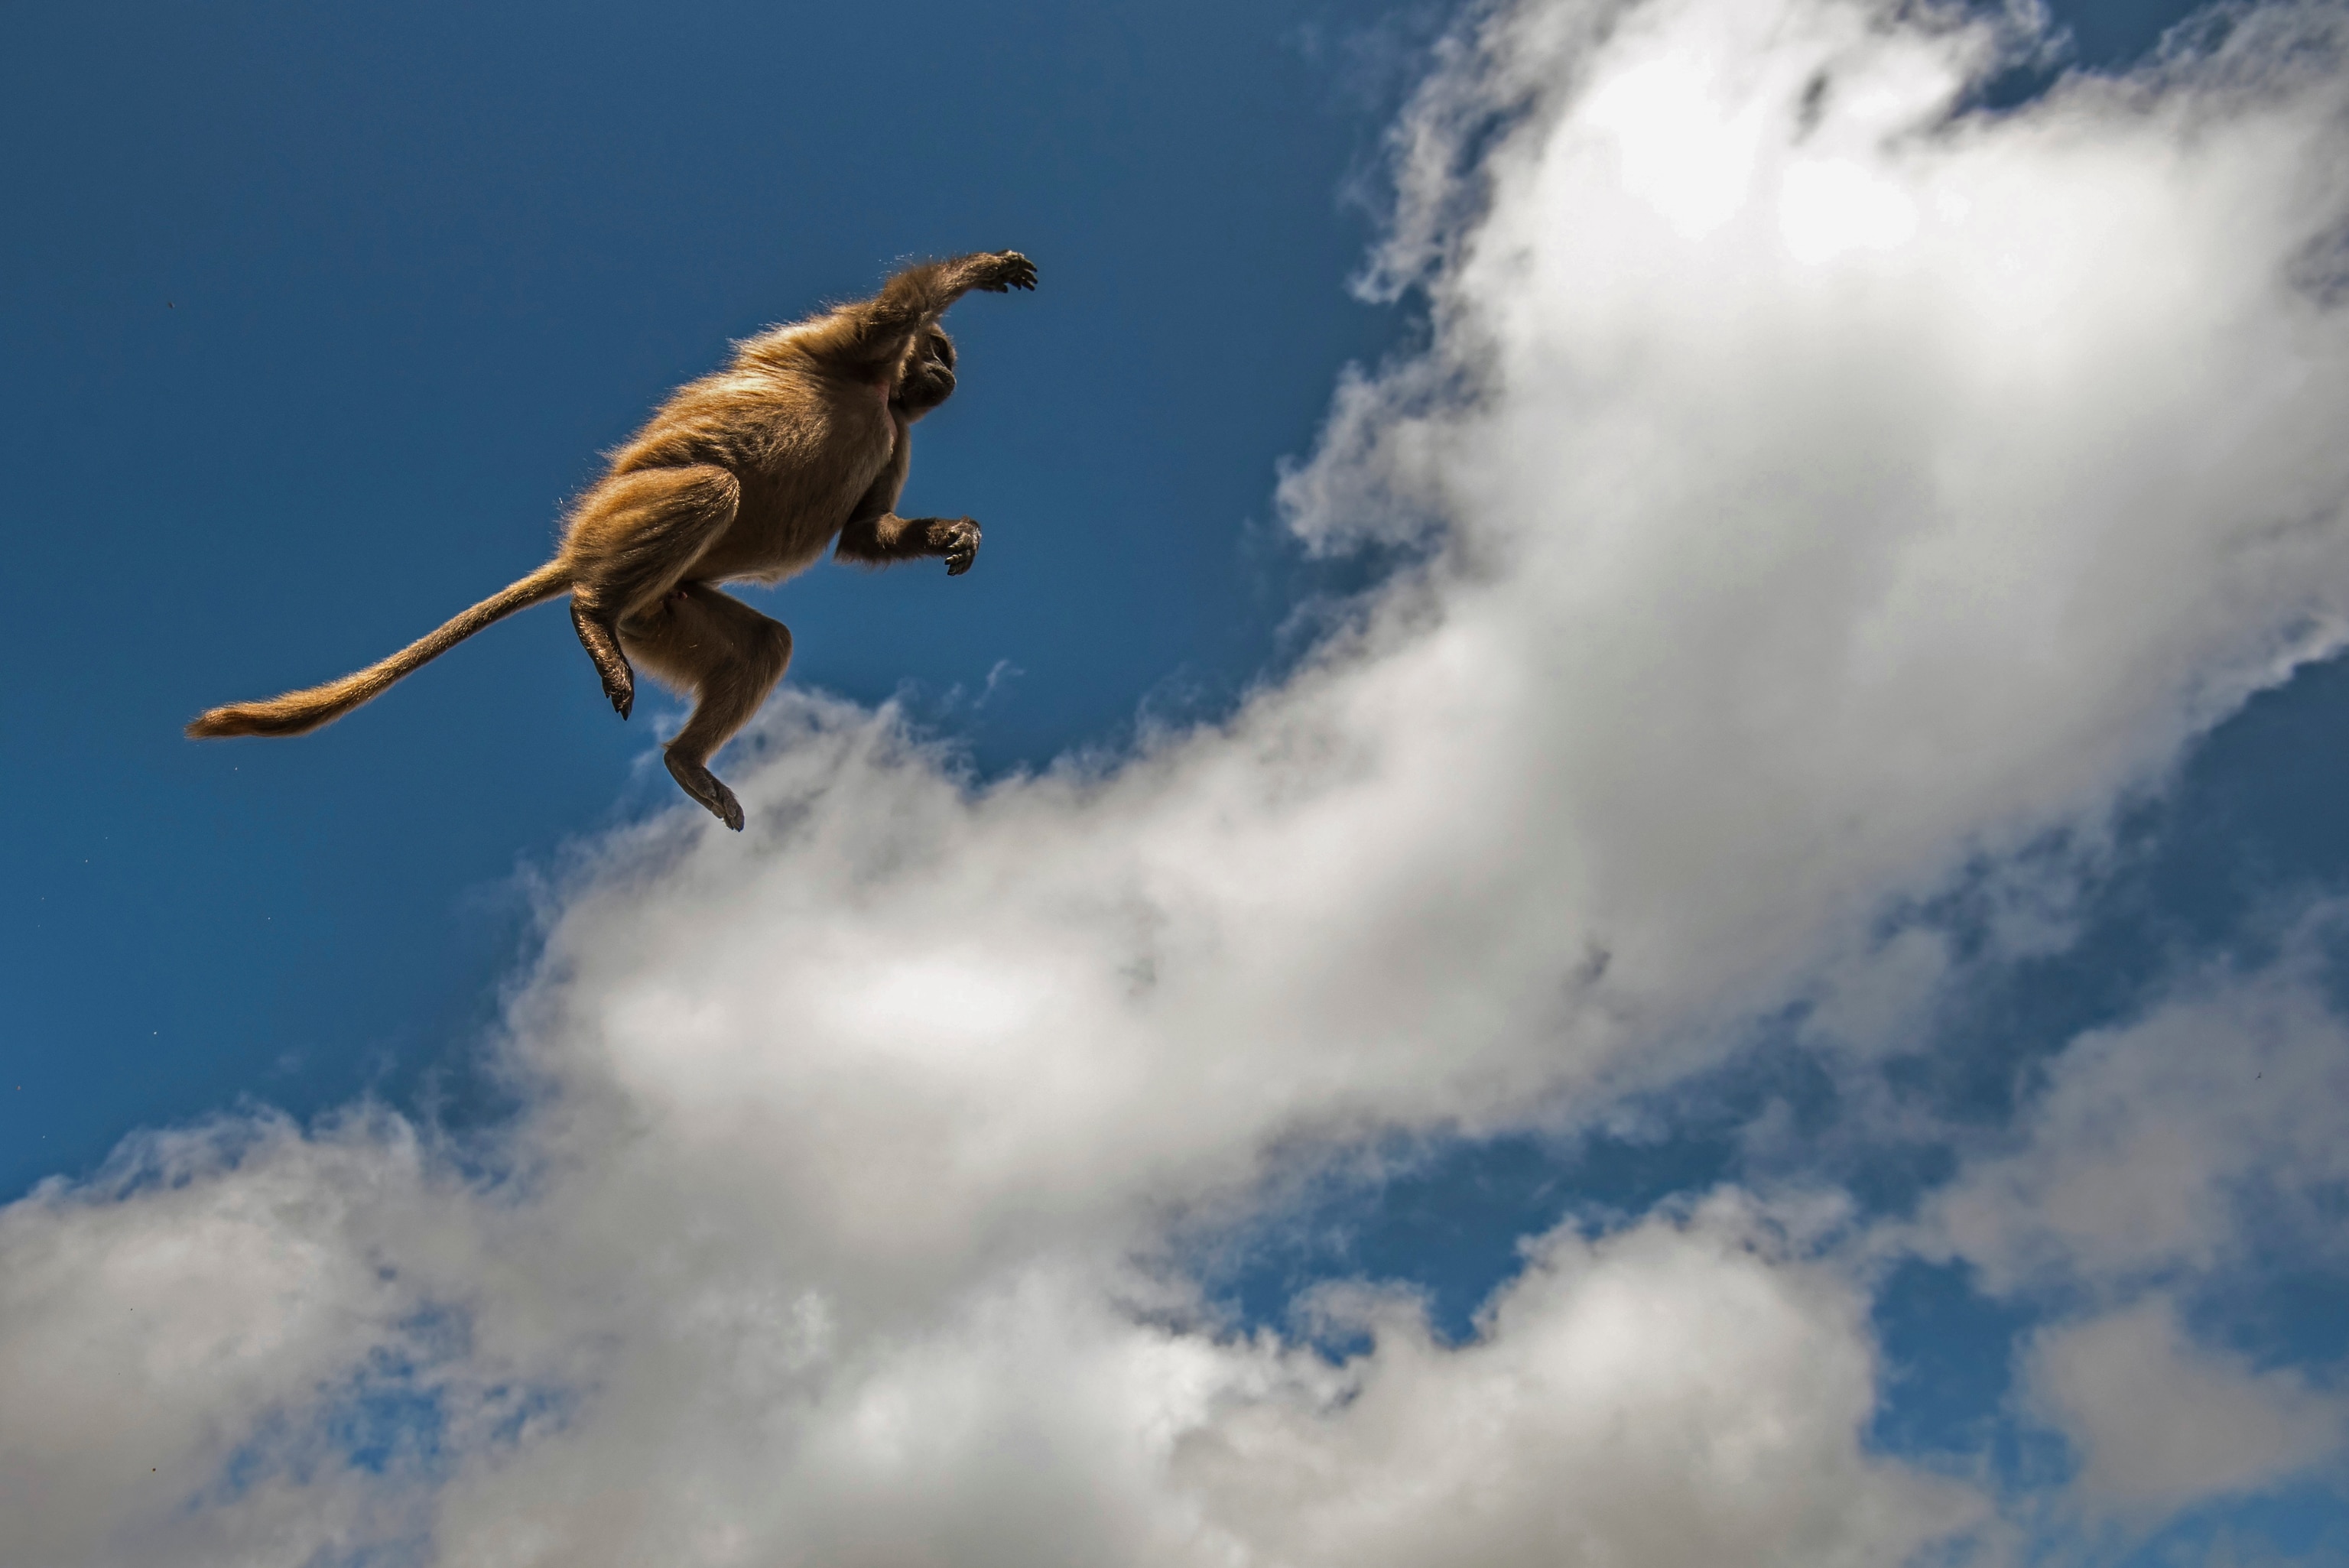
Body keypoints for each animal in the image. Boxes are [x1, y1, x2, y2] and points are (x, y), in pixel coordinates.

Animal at [183, 249, 1028, 826]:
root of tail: (580, 555)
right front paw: (985, 270)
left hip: (660, 608)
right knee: (711, 487)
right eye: (943, 353)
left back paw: (684, 756)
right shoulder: (856, 342)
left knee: (762, 643)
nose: (950, 375)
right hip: (621, 526)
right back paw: (590, 616)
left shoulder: (897, 431)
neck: (881, 392)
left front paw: (957, 535)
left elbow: (862, 534)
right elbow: (896, 308)